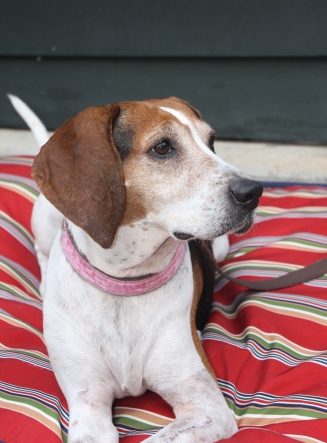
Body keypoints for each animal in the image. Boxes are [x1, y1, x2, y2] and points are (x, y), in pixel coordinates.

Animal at [10, 95, 264, 442]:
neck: (124, 281)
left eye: (211, 142)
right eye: (163, 147)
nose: (252, 191)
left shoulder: (207, 407)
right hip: (46, 218)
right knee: (41, 250)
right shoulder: (88, 404)